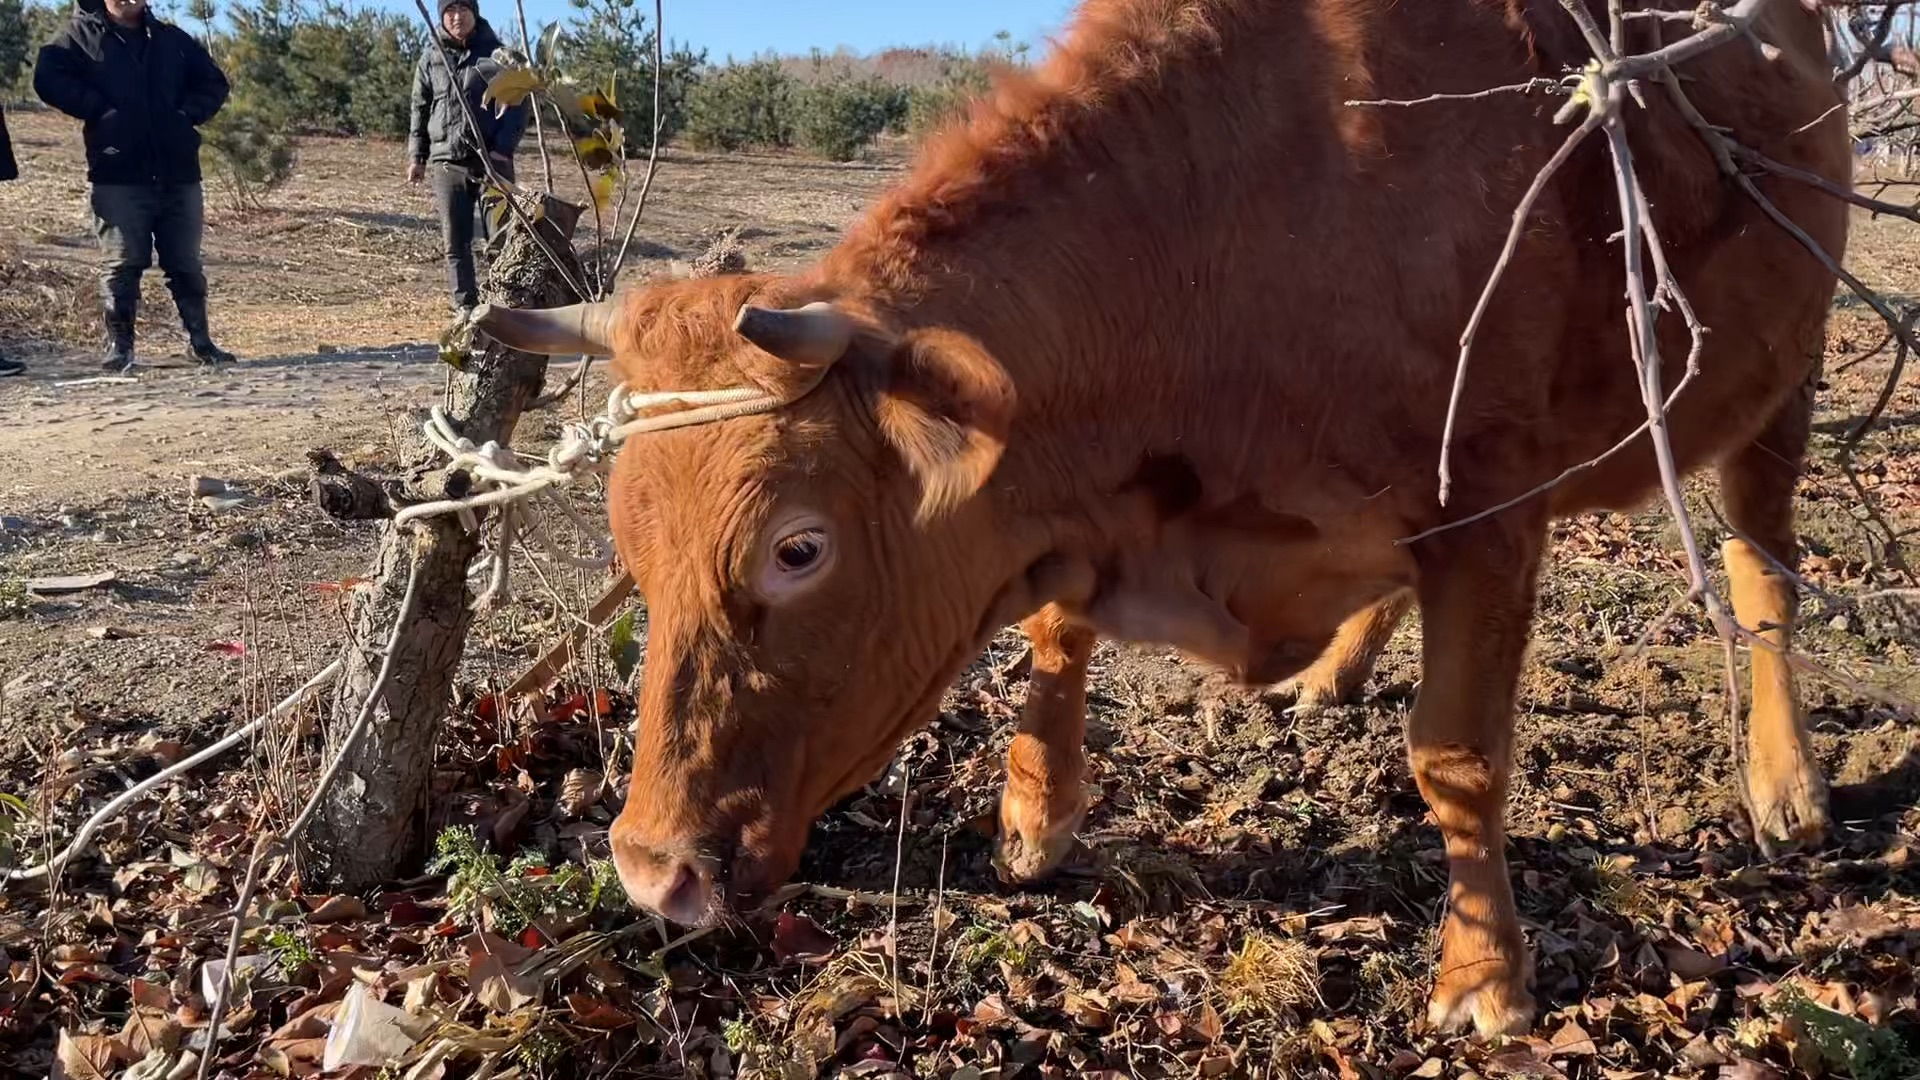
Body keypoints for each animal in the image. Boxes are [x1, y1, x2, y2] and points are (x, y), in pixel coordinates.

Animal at [476, 0, 1843, 1037]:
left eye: (797, 548)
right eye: (630, 547)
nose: (652, 870)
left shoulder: (1490, 509)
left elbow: (1457, 755)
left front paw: (1482, 977)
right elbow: (1054, 634)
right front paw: (1036, 817)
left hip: (1784, 376)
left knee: (1763, 565)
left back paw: (1786, 784)